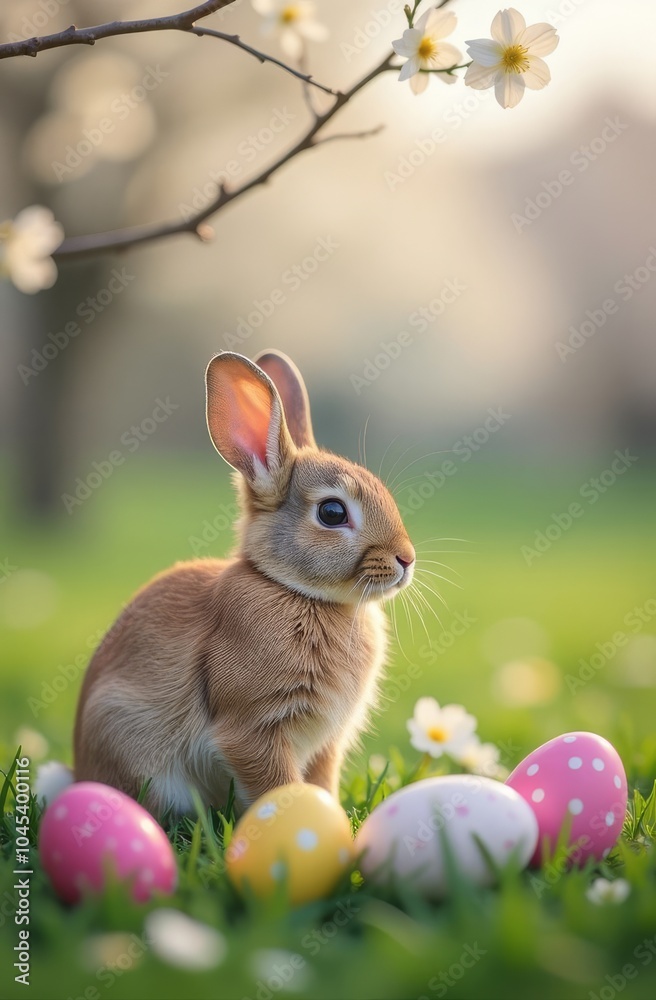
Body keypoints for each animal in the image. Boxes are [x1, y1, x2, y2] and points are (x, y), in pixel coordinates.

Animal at [73, 350, 415, 817]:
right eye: (332, 512)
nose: (407, 559)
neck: (293, 589)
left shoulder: (325, 742)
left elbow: (320, 782)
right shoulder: (253, 727)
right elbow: (277, 785)